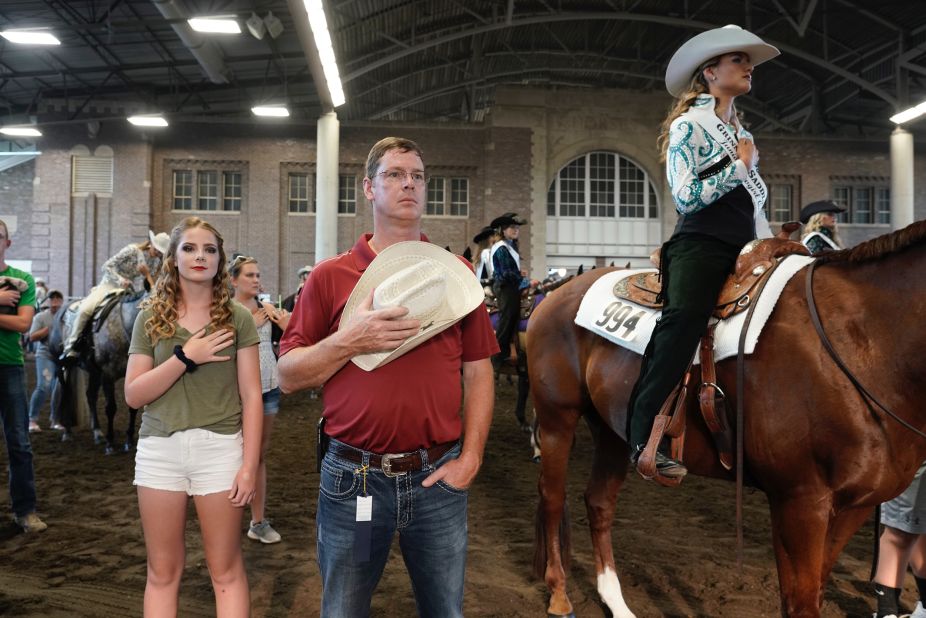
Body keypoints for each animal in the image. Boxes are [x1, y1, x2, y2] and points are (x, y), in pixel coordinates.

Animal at [528, 221, 926, 616]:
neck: (860, 345)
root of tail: (558, 293)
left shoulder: (854, 506)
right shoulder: (800, 501)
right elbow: (800, 602)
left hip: (611, 431)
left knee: (599, 502)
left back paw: (616, 601)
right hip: (557, 421)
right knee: (552, 498)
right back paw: (560, 595)